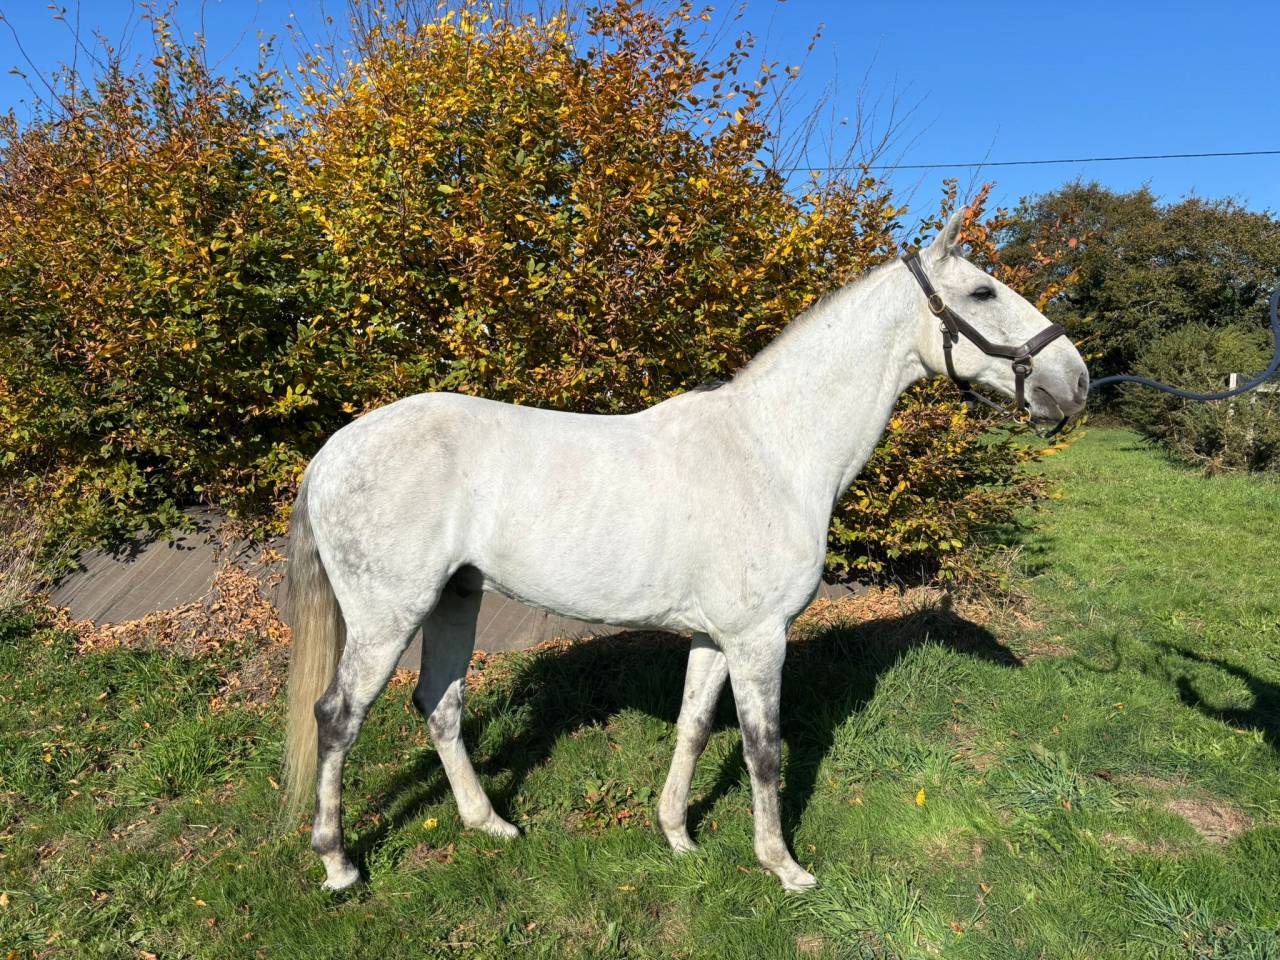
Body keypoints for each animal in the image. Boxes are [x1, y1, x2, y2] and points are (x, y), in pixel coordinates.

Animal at [283, 209, 1089, 892]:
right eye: (982, 291)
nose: (1077, 382)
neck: (774, 451)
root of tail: (330, 455)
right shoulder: (760, 638)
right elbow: (764, 750)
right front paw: (783, 866)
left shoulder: (714, 636)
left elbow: (694, 727)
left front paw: (677, 835)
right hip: (388, 617)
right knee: (338, 717)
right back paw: (338, 864)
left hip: (456, 599)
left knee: (440, 706)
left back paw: (491, 825)